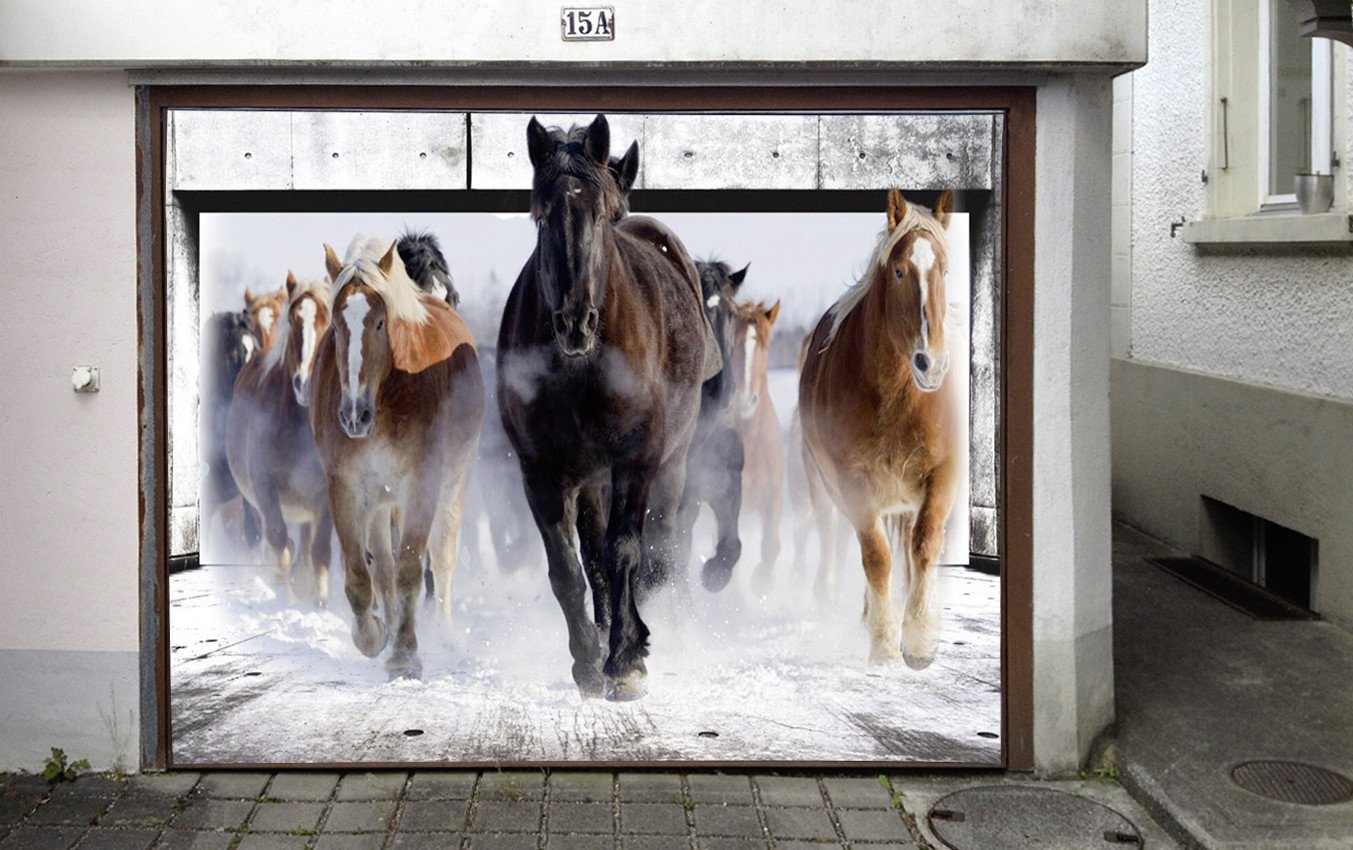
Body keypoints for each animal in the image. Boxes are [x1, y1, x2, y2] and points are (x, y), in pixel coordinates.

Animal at [225, 272, 334, 602]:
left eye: (329, 321)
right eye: (294, 319)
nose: (305, 383)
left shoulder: (325, 496)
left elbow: (319, 552)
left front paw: (319, 603)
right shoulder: (264, 490)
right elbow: (279, 545)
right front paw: (287, 598)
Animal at [312, 237, 484, 679]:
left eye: (379, 322)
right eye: (336, 324)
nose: (353, 415)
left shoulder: (422, 484)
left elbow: (411, 570)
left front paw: (405, 655)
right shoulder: (344, 486)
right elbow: (363, 574)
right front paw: (375, 636)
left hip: (451, 485)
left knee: (440, 558)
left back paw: (443, 633)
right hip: (380, 500)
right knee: (383, 567)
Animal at [497, 114, 716, 700]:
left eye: (602, 214)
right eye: (541, 214)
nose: (576, 322)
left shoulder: (636, 461)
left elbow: (624, 552)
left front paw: (625, 659)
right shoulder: (543, 472)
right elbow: (568, 568)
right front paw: (588, 659)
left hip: (673, 461)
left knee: (658, 546)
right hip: (590, 478)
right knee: (594, 556)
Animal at [798, 188, 959, 669]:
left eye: (945, 270)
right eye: (900, 270)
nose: (931, 364)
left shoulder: (942, 473)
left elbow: (925, 544)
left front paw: (920, 638)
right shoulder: (854, 483)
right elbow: (876, 557)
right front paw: (885, 641)